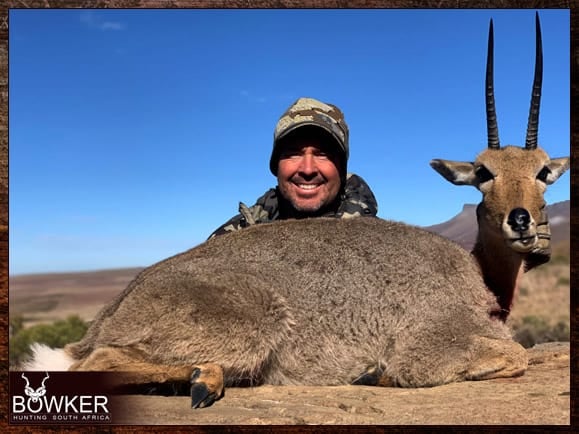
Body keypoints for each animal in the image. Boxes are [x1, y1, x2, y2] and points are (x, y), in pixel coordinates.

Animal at [22, 13, 568, 408]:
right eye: (482, 172)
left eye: (544, 171)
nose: (522, 221)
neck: (477, 270)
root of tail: (112, 312)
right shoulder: (429, 344)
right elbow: (512, 356)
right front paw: (374, 374)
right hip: (251, 324)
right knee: (98, 363)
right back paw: (204, 378)